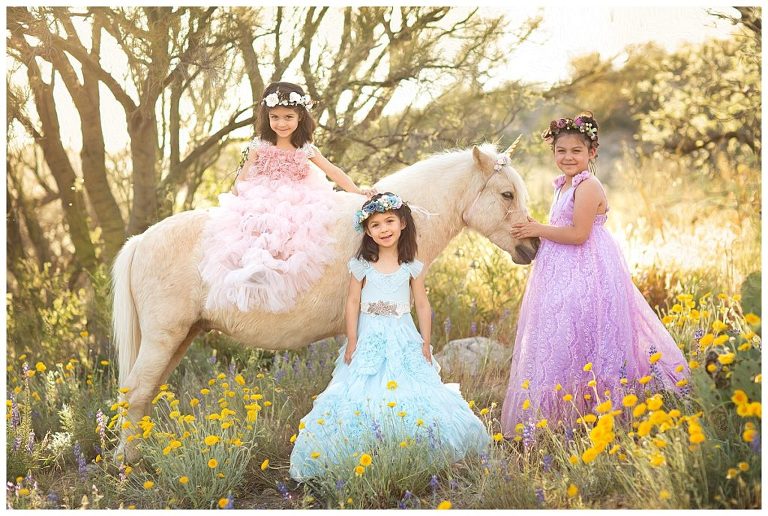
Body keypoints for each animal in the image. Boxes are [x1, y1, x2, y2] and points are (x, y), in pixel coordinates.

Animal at [114, 145, 540, 460]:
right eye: (506, 194)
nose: (533, 245)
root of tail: (141, 240)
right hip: (164, 338)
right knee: (135, 392)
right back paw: (128, 463)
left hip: (179, 338)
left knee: (145, 393)